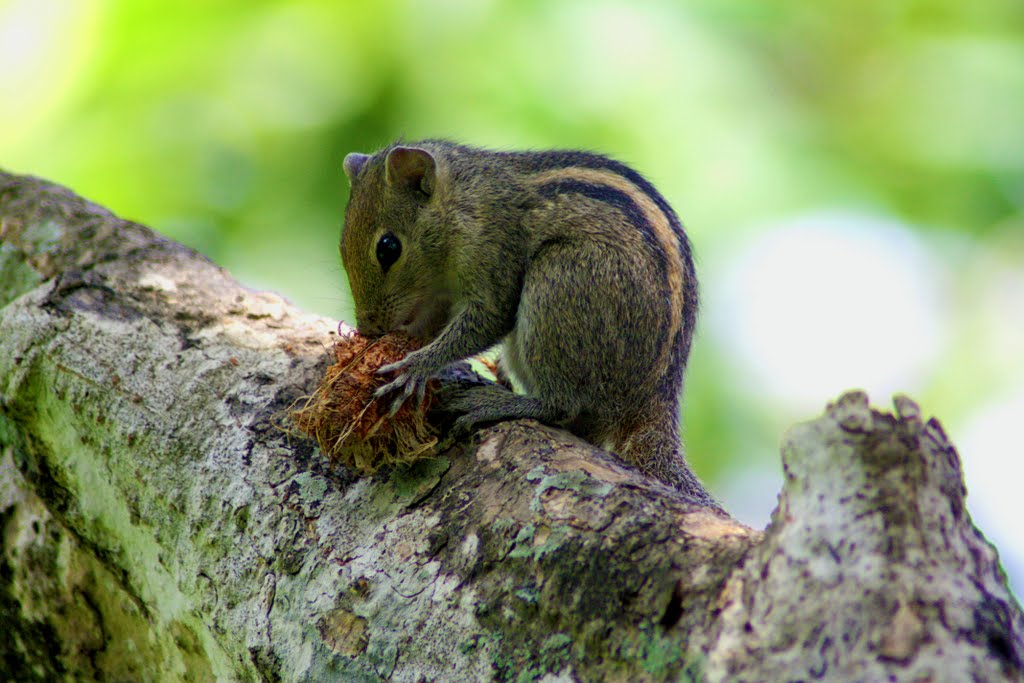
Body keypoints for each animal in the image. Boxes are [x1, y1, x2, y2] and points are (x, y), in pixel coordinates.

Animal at [339, 139, 716, 507]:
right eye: (342, 246)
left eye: (388, 248)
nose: (369, 328)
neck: (464, 200)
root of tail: (653, 397)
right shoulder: (441, 297)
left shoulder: (494, 251)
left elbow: (488, 318)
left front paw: (415, 367)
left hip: (560, 280)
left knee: (561, 404)